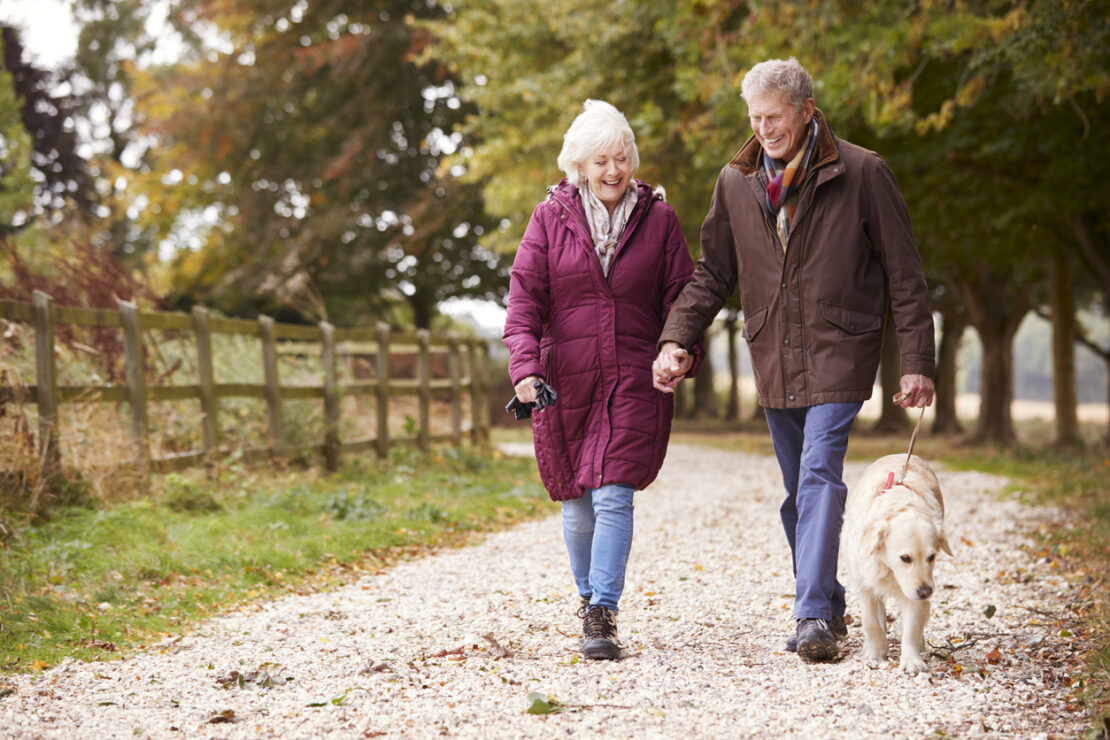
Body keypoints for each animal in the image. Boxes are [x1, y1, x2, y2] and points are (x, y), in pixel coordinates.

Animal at [843, 454, 950, 674]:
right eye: (905, 558)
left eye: (932, 557)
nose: (926, 592)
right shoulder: (864, 585)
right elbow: (871, 622)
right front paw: (875, 653)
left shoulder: (914, 594)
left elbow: (912, 628)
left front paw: (911, 660)